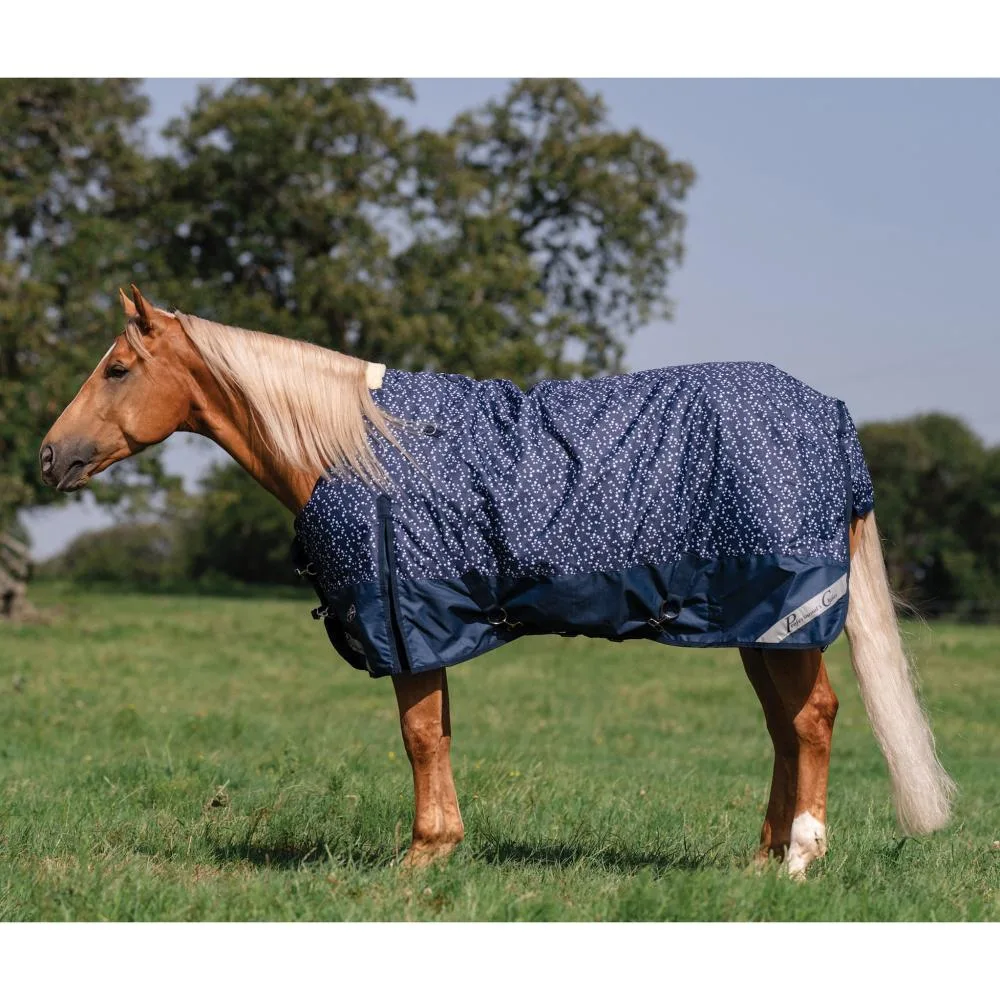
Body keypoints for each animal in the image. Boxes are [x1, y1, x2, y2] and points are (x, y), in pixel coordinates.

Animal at [39, 285, 955, 877]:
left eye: (117, 369)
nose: (51, 455)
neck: (359, 449)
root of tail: (831, 417)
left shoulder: (406, 621)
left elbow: (418, 736)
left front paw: (419, 859)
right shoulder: (428, 628)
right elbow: (437, 733)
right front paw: (440, 848)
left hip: (787, 616)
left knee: (812, 720)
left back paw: (802, 857)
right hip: (752, 622)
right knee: (784, 729)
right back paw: (761, 860)